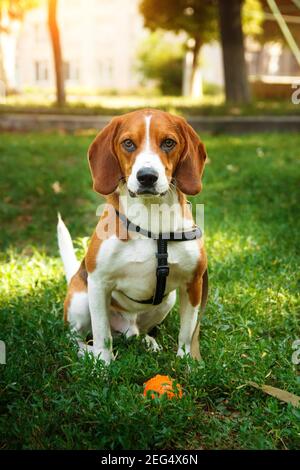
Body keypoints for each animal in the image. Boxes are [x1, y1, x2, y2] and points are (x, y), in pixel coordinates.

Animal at [57, 109, 207, 364]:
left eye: (168, 143)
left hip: (167, 301)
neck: (152, 219)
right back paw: (87, 353)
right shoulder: (98, 283)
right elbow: (101, 333)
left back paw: (147, 341)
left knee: (137, 333)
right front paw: (103, 364)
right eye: (128, 143)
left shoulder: (193, 283)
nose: (147, 176)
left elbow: (188, 332)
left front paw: (188, 362)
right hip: (81, 299)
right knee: (74, 337)